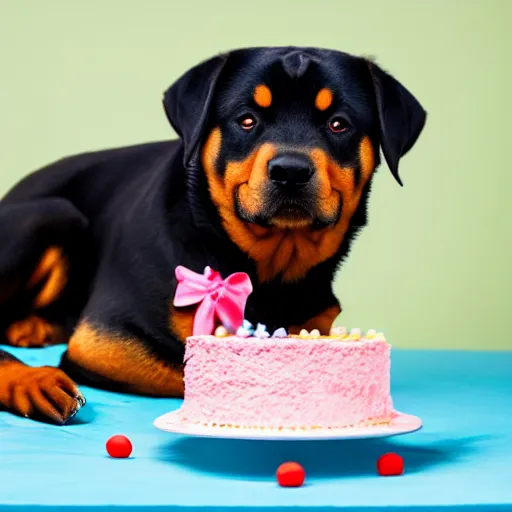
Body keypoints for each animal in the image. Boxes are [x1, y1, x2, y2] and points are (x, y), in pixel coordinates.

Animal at [0, 47, 426, 424]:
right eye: (247, 120)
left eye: (339, 123)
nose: (290, 171)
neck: (269, 267)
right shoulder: (105, 341)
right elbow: (196, 371)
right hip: (53, 213)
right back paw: (35, 381)